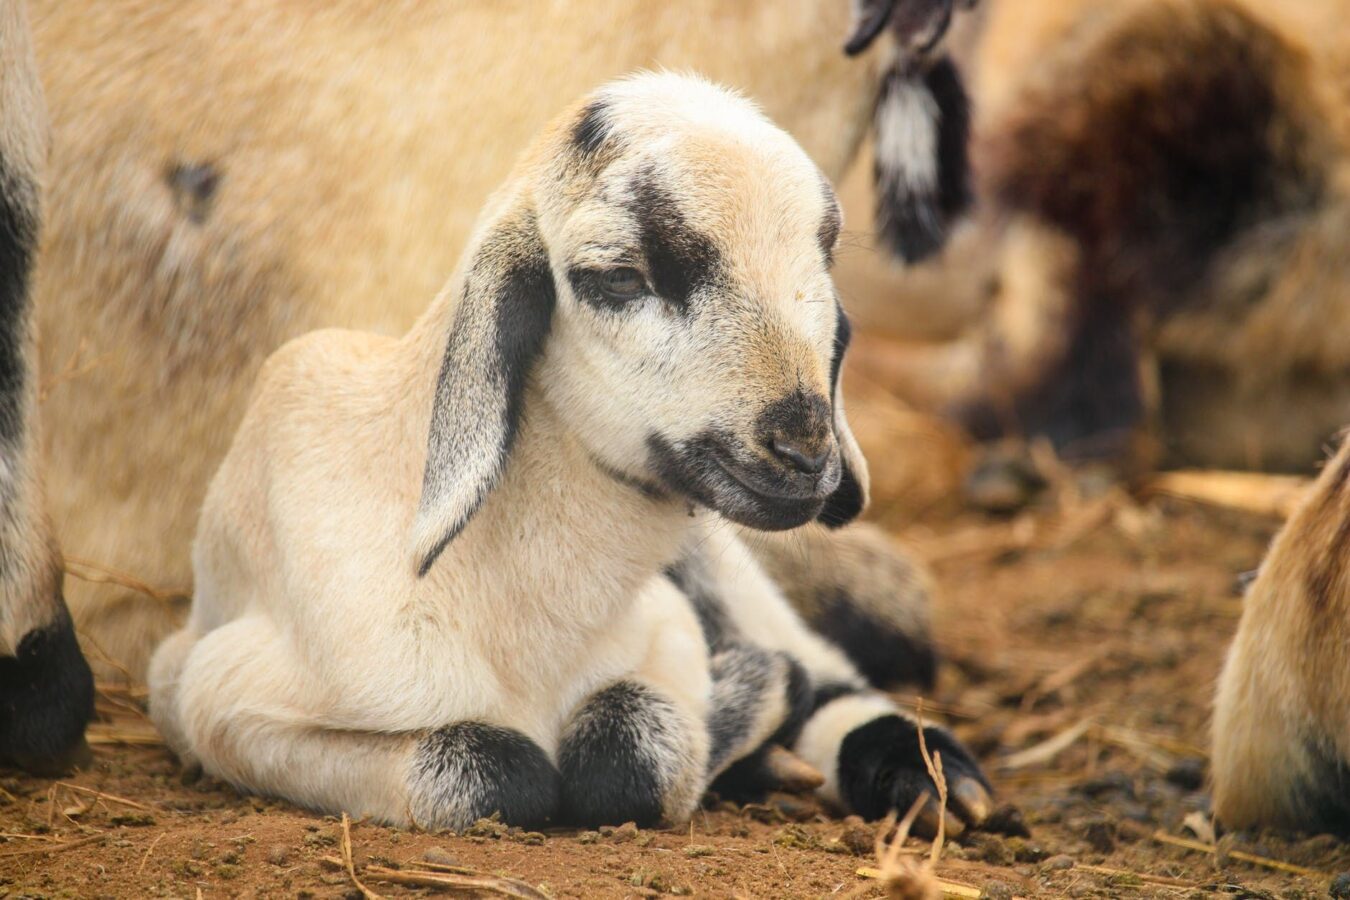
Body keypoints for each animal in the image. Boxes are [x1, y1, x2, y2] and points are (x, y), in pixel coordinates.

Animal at [147, 75, 993, 831]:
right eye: (618, 276)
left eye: (827, 260)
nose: (805, 450)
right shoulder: (209, 693)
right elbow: (499, 770)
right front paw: (749, 709)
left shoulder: (667, 637)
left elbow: (635, 748)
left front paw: (749, 700)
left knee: (819, 662)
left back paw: (928, 774)